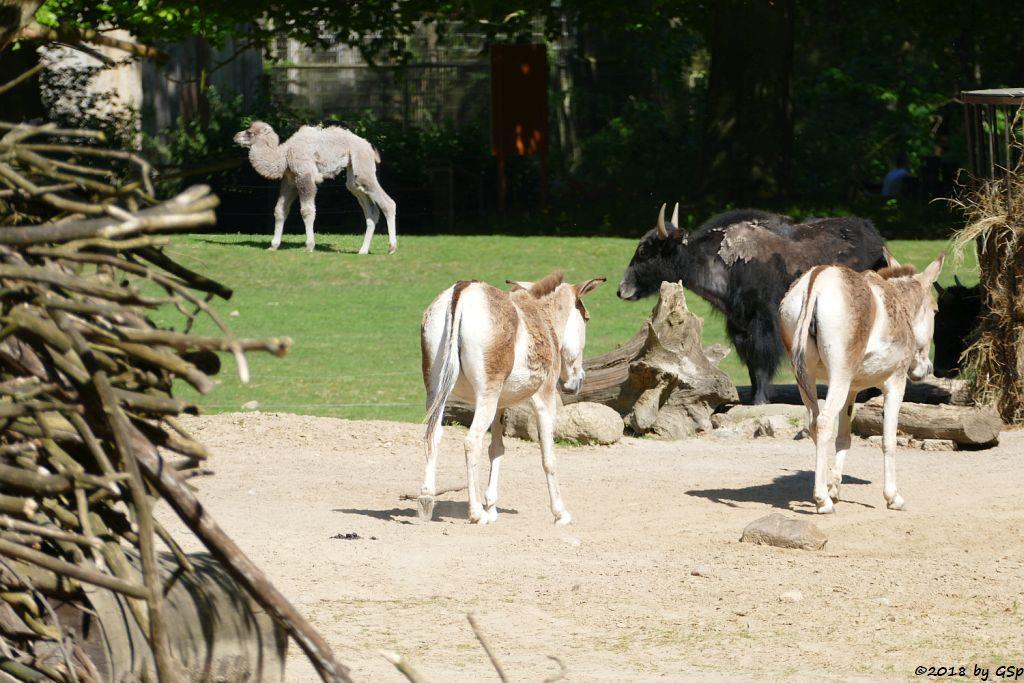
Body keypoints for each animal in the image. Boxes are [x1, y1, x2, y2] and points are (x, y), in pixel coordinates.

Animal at [233, 120, 395, 253]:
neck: (284, 155)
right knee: (370, 209)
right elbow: (280, 210)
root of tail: (370, 147)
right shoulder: (290, 180)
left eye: (250, 132)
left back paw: (392, 248)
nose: (236, 136)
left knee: (388, 203)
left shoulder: (305, 176)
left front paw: (309, 246)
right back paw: (363, 250)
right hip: (353, 176)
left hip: (362, 165)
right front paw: (273, 246)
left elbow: (307, 211)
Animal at [419, 270, 602, 524]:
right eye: (587, 318)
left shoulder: (500, 406)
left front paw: (492, 507)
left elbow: (497, 449)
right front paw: (560, 513)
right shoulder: (544, 400)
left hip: (436, 391)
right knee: (471, 441)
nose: (578, 381)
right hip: (485, 396)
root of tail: (463, 290)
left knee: (433, 434)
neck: (543, 319)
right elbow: (549, 458)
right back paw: (475, 513)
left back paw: (427, 500)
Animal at [782, 250, 942, 511]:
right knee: (824, 422)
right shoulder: (895, 383)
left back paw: (824, 492)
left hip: (806, 377)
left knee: (814, 424)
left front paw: (835, 487)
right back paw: (822, 501)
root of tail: (818, 279)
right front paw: (893, 497)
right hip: (838, 375)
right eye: (936, 310)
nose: (926, 369)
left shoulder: (851, 390)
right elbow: (889, 440)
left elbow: (844, 438)